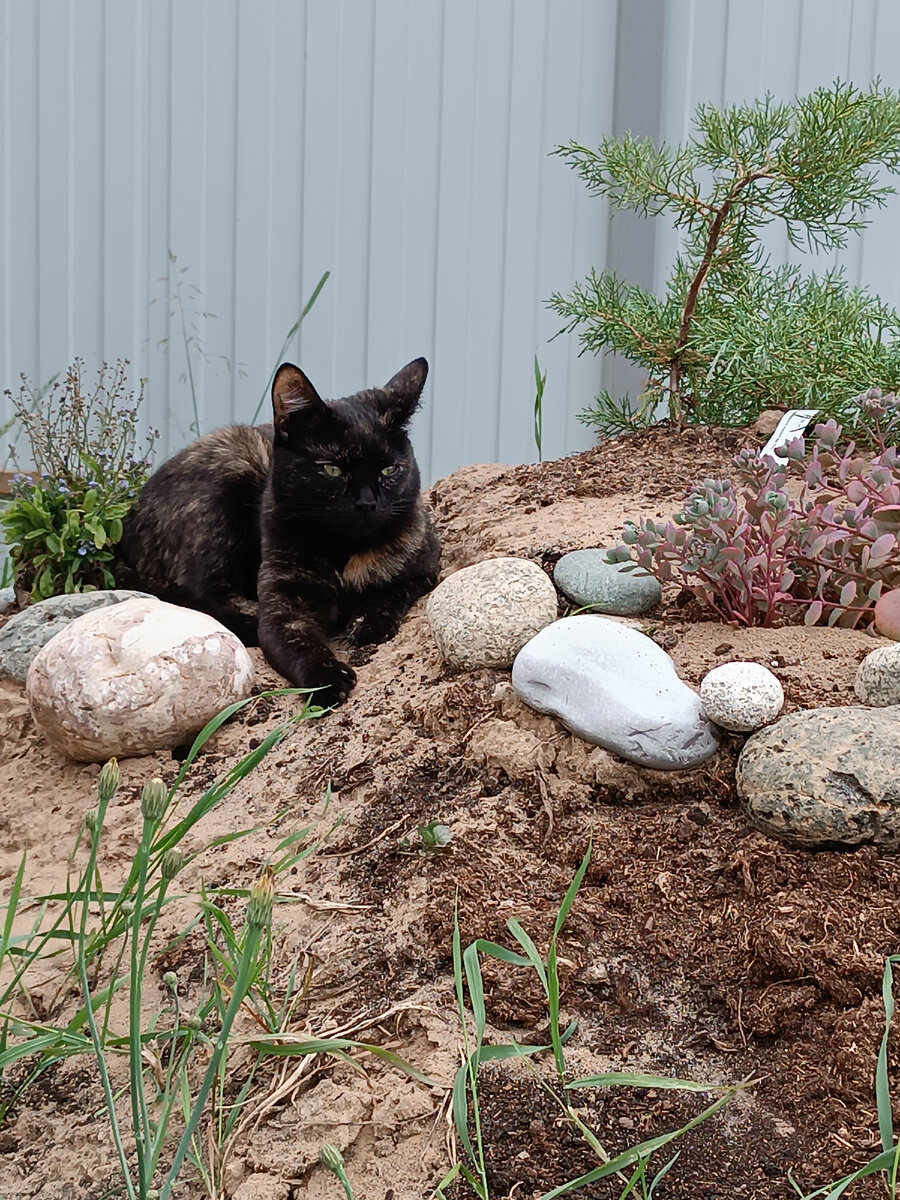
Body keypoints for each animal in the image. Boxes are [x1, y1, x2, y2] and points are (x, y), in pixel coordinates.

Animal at [116, 360, 441, 705]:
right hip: (230, 475)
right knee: (201, 594)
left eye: (389, 470)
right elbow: (295, 641)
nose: (367, 503)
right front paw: (326, 677)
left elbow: (392, 591)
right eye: (332, 469)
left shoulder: (424, 568)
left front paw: (369, 622)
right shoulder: (283, 605)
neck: (343, 552)